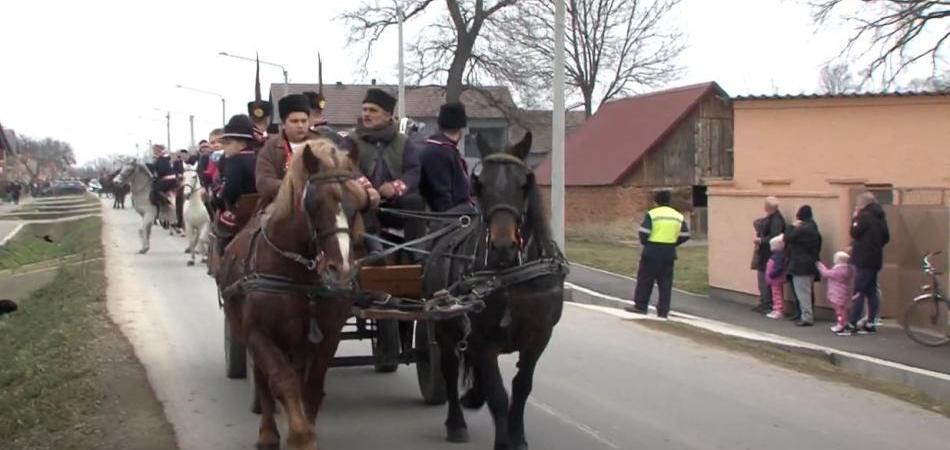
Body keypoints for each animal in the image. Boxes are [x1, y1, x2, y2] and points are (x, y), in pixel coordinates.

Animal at [216, 138, 368, 450]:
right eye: (314, 203)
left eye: (358, 202)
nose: (342, 269)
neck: (300, 275)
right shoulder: (258, 334)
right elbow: (281, 379)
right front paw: (299, 435)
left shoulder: (328, 335)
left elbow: (312, 385)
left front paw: (307, 428)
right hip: (245, 331)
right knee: (263, 380)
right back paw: (267, 433)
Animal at [428, 133, 568, 450]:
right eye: (479, 184)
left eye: (525, 183)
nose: (503, 247)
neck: (510, 277)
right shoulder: (483, 339)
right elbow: (498, 394)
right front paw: (504, 442)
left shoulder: (539, 337)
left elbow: (522, 386)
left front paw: (518, 436)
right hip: (444, 327)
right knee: (449, 368)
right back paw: (456, 423)